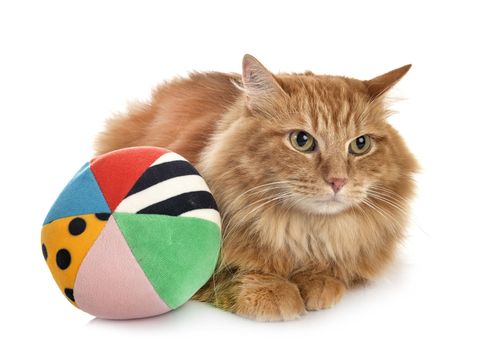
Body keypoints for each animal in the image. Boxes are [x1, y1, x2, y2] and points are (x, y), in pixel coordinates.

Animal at [94, 55, 416, 322]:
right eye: (302, 141)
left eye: (360, 144)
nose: (338, 181)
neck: (303, 231)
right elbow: (237, 274)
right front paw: (275, 291)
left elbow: (333, 268)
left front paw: (319, 280)